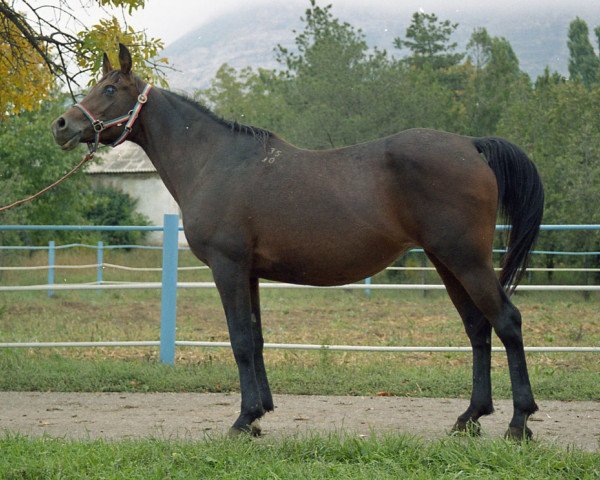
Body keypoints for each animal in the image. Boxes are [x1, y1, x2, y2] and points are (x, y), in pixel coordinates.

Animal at [54, 44, 548, 438]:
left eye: (110, 89)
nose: (61, 125)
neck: (214, 161)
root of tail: (470, 145)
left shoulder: (228, 267)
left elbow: (239, 340)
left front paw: (242, 420)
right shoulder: (249, 273)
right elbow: (255, 339)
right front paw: (259, 414)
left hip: (467, 260)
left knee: (507, 322)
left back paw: (519, 422)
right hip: (447, 262)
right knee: (477, 327)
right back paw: (470, 417)